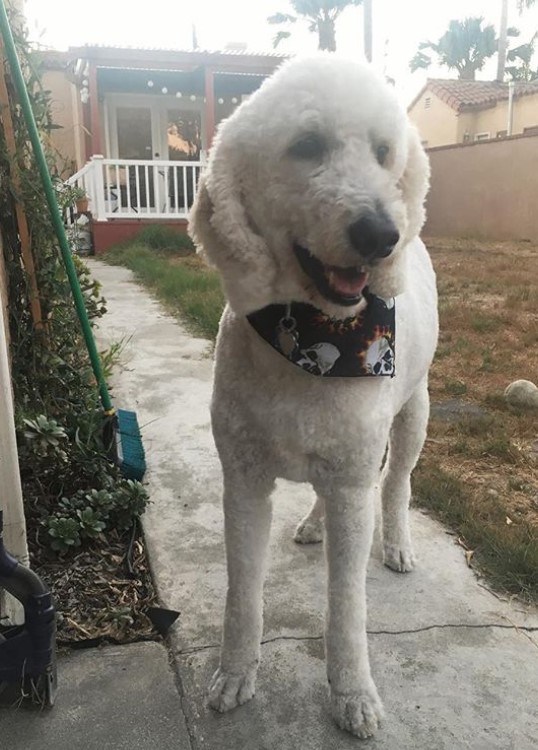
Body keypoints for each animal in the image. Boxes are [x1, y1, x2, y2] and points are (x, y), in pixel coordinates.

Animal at [188, 57, 436, 740]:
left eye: (382, 152)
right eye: (305, 146)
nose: (381, 234)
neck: (313, 334)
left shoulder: (353, 480)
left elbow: (347, 606)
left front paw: (352, 693)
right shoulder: (244, 480)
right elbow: (242, 592)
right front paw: (235, 672)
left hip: (413, 414)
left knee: (396, 483)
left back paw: (396, 542)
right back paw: (312, 524)